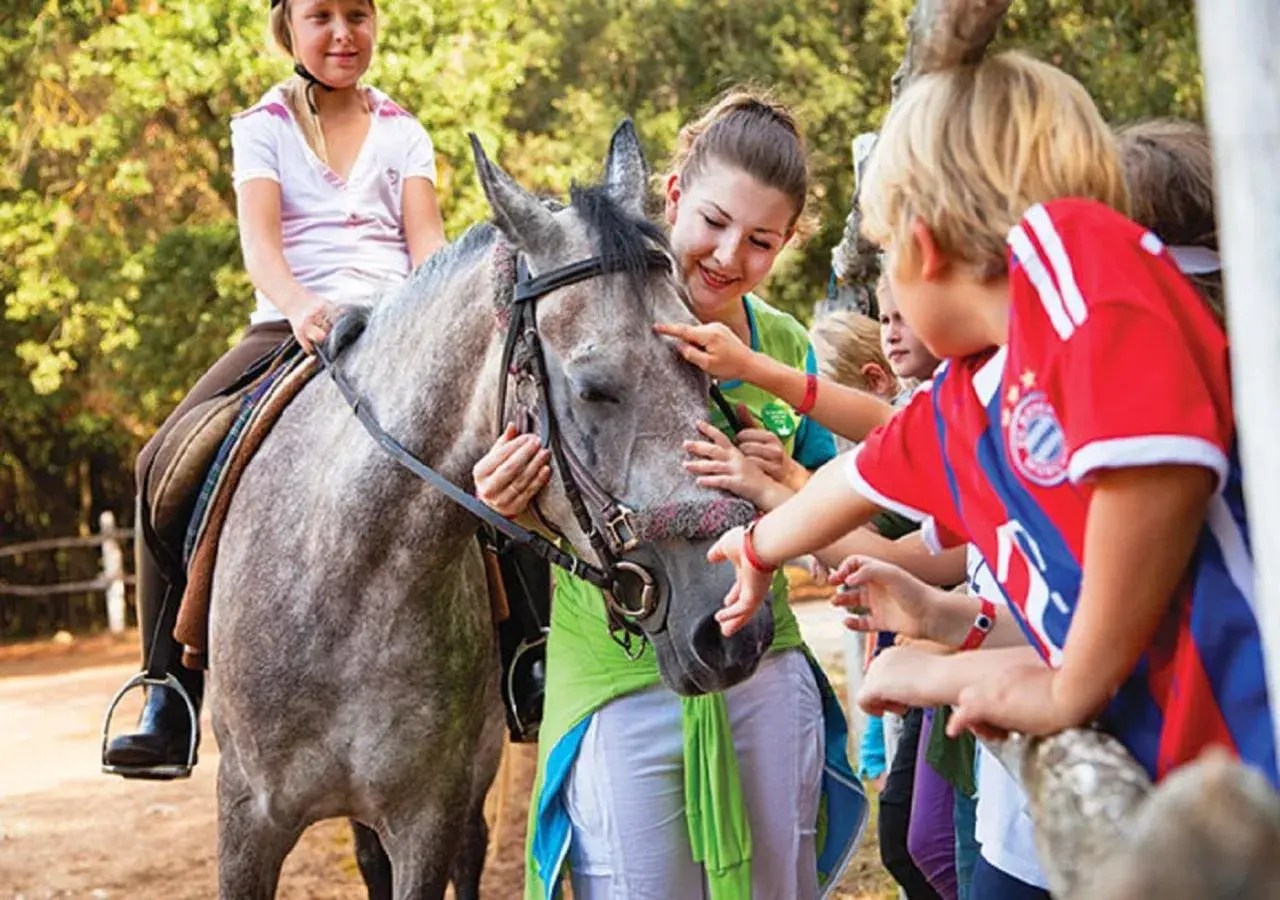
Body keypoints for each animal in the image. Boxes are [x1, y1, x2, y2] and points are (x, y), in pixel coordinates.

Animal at [206, 121, 773, 900]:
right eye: (595, 388)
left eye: (705, 363)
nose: (731, 629)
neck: (341, 576)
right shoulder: (246, 822)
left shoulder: (428, 814)